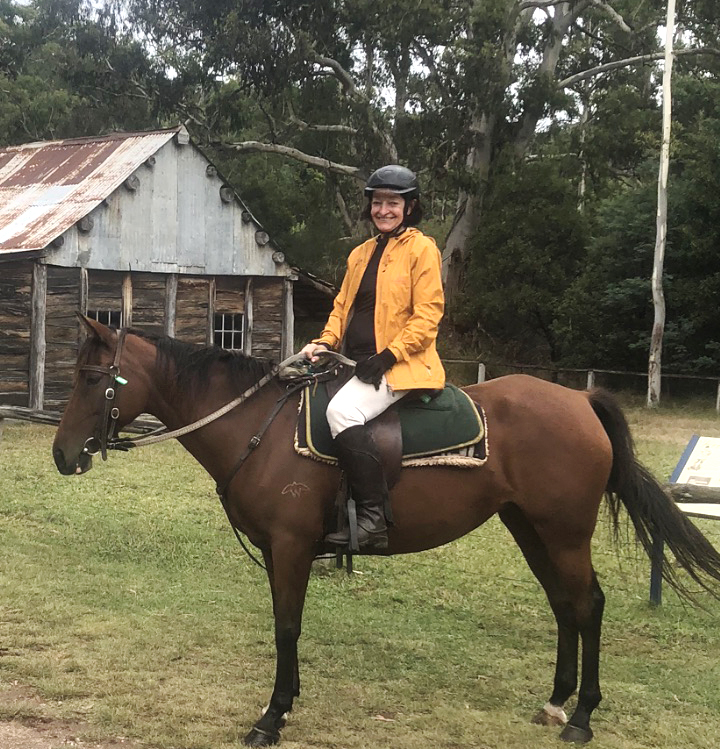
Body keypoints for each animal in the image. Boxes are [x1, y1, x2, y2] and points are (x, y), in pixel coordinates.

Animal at [52, 316, 720, 747]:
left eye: (90, 378)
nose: (61, 455)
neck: (259, 425)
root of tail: (580, 401)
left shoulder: (290, 548)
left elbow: (287, 627)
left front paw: (271, 717)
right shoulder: (280, 552)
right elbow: (286, 626)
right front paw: (284, 704)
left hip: (564, 531)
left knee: (588, 604)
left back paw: (582, 716)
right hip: (529, 528)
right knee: (564, 604)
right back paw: (557, 701)